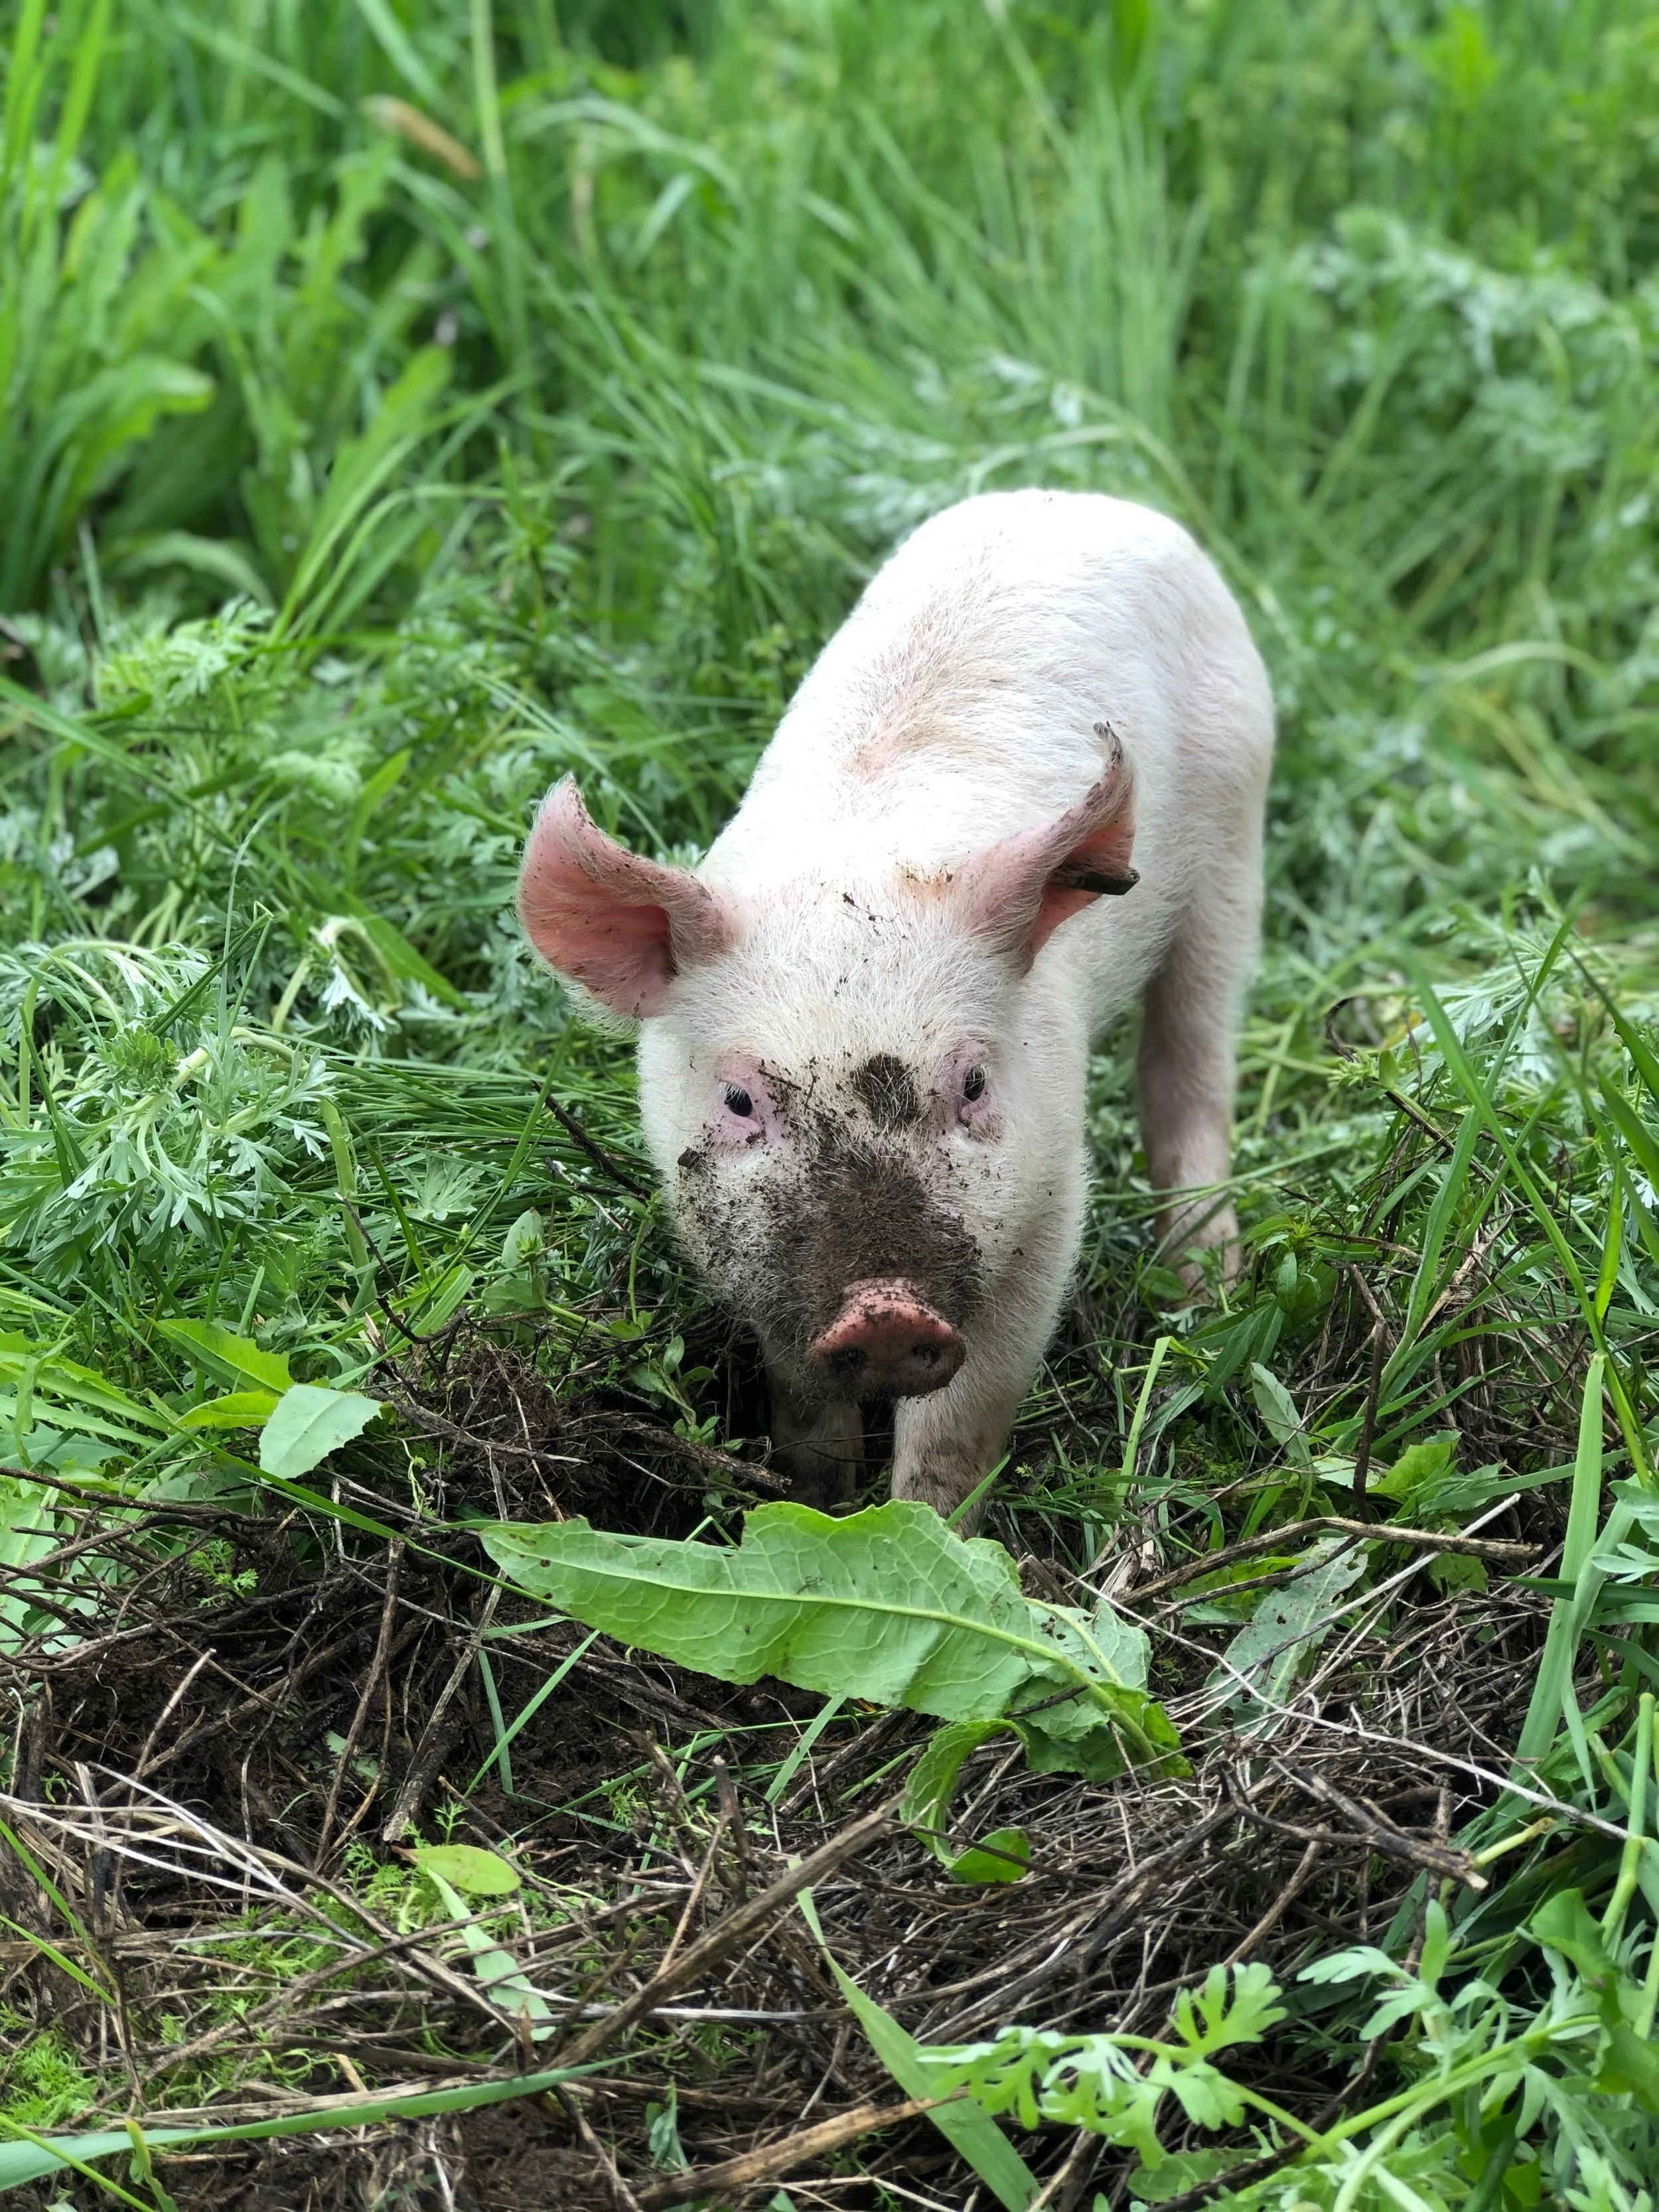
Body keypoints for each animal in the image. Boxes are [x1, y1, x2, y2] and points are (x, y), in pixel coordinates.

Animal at [517, 489, 1273, 1518]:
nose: (881, 1310)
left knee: (1189, 1071)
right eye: (740, 1099)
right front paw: (820, 1509)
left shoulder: (1047, 1192)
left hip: (1236, 836)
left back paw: (1205, 1297)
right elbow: (801, 1401)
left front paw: (926, 1532)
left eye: (975, 1084)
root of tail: (1085, 498)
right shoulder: (749, 1252)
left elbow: (964, 1417)